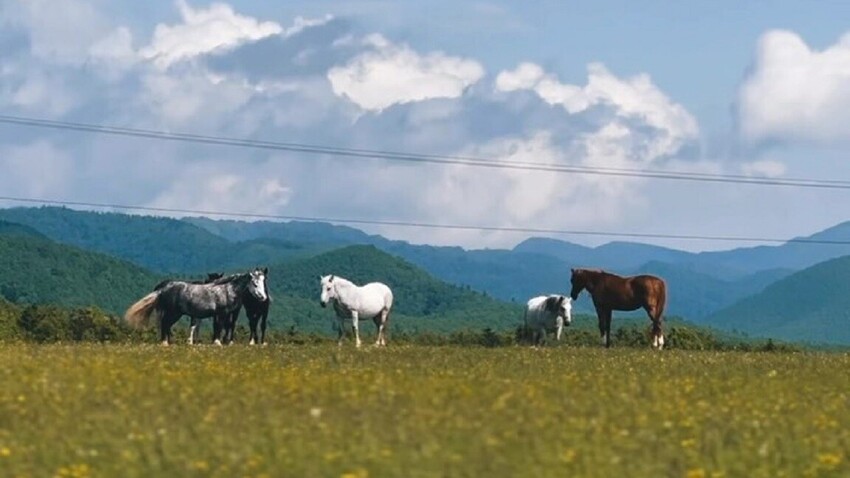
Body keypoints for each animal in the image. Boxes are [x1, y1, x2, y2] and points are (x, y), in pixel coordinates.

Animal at [123, 268, 264, 346]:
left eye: (263, 282)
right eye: (255, 284)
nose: (263, 297)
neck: (226, 290)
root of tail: (163, 288)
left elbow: (219, 327)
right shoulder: (222, 313)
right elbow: (219, 327)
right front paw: (218, 343)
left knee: (166, 325)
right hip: (174, 313)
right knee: (165, 324)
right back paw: (165, 343)